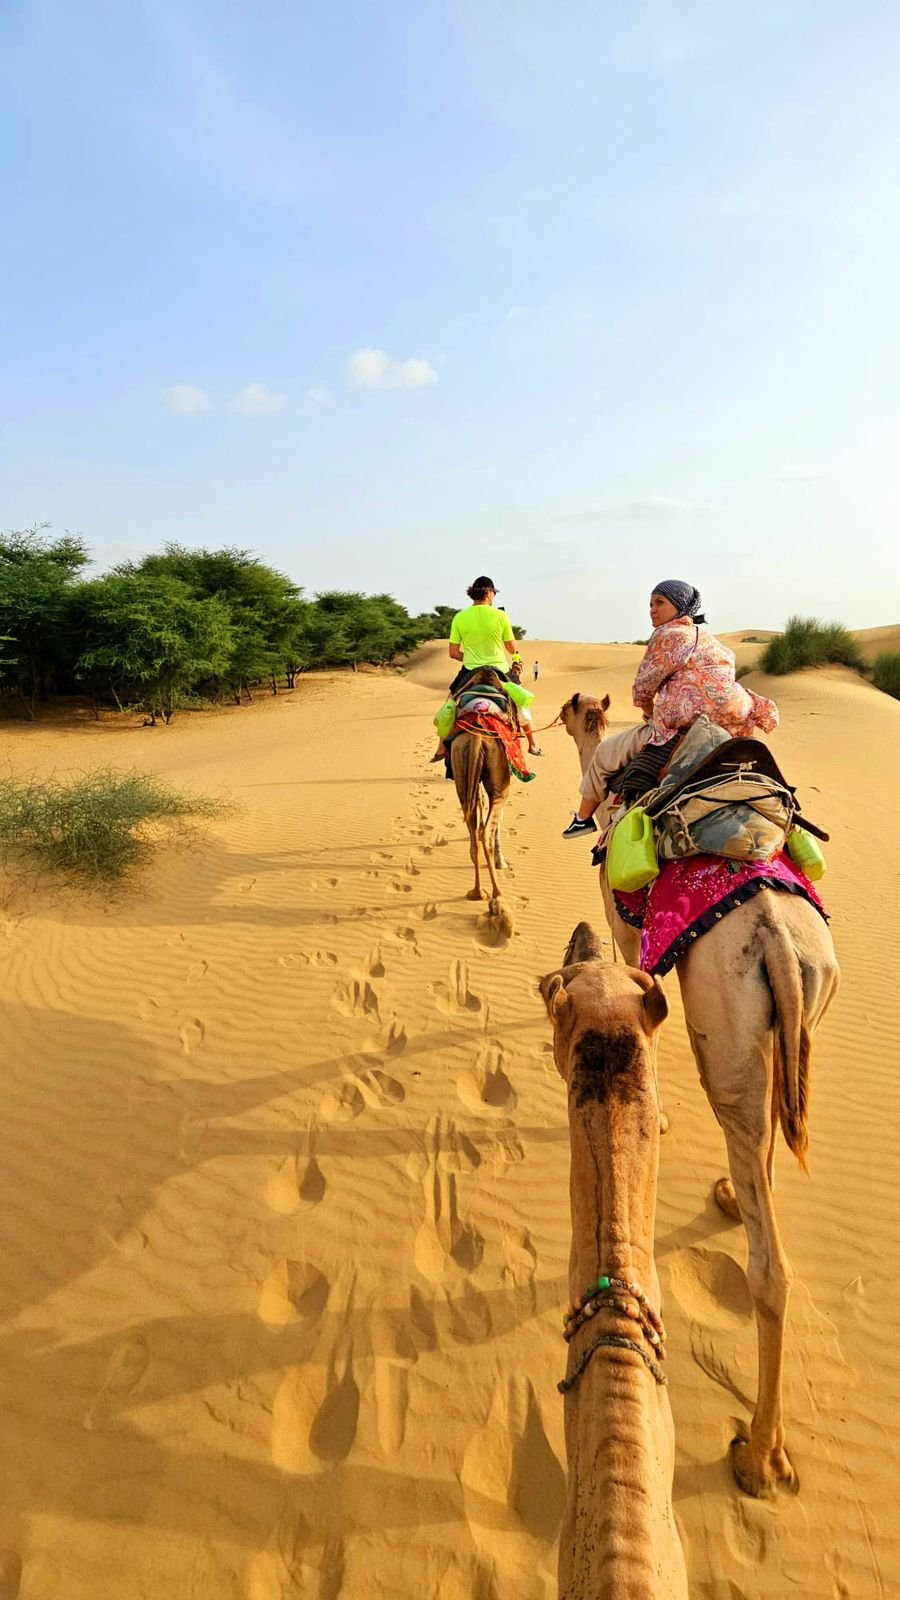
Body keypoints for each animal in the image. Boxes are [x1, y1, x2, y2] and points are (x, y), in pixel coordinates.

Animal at [560, 694, 840, 1498]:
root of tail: (776, 938)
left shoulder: (628, 932)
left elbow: (632, 985)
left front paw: (654, 1115)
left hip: (721, 1017)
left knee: (771, 1270)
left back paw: (760, 1457)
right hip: (787, 1020)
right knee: (764, 1132)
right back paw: (729, 1195)